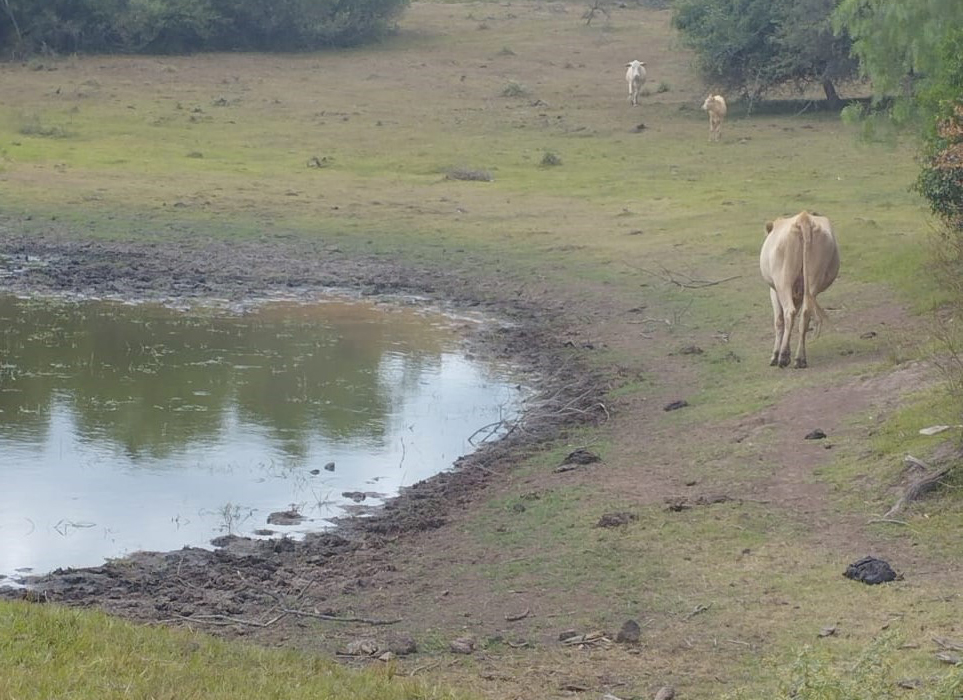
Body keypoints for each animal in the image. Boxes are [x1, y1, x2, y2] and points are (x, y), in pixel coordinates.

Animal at [756, 211, 840, 370]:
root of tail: (804, 218)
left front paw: (775, 355)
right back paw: (800, 358)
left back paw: (783, 357)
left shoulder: (773, 291)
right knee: (805, 315)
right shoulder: (799, 293)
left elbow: (779, 321)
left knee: (789, 312)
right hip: (812, 283)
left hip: (783, 281)